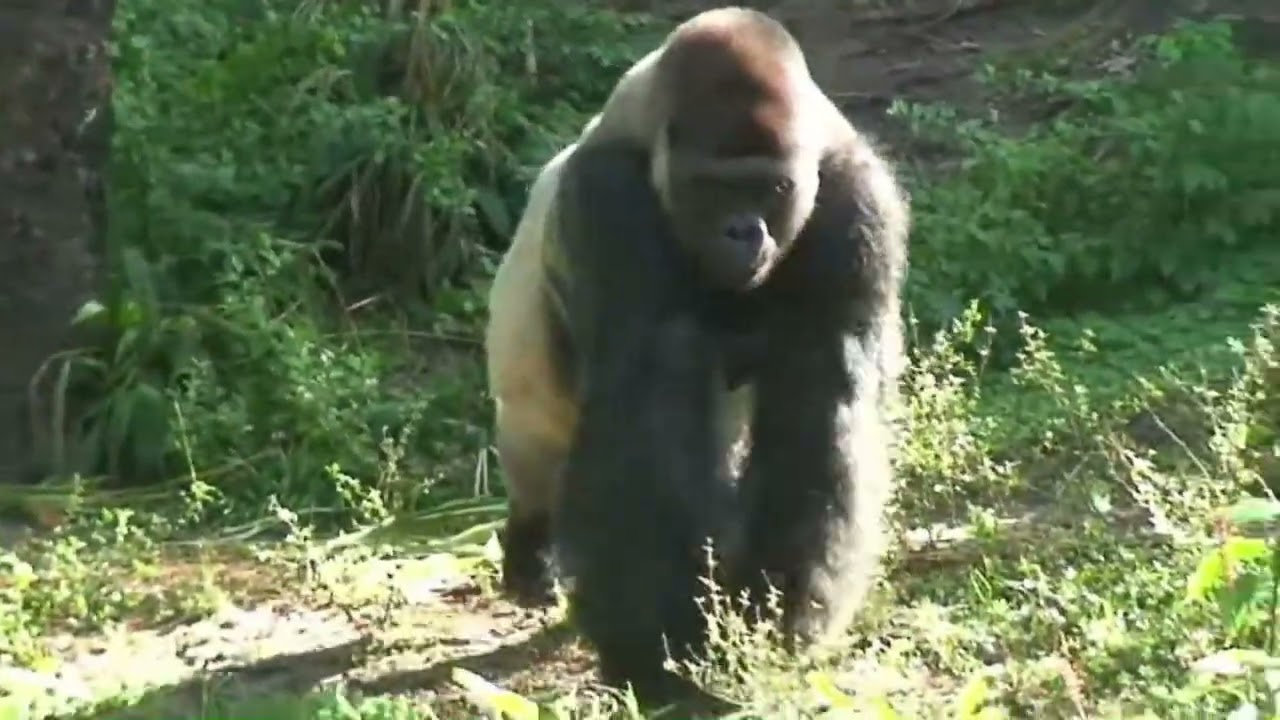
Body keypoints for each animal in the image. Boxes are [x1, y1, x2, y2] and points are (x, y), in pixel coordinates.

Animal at [484, 5, 910, 704]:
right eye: (712, 188)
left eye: (773, 188)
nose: (744, 232)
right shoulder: (605, 197)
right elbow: (644, 387)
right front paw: (657, 659)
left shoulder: (858, 197)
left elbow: (823, 386)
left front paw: (773, 618)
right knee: (537, 446)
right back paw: (531, 549)